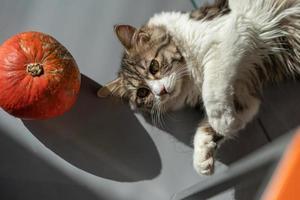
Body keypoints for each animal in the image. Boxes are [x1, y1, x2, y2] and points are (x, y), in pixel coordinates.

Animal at [98, 0, 300, 175]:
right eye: (142, 93)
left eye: (154, 67)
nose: (160, 91)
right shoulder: (243, 94)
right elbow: (210, 127)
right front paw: (203, 154)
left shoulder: (230, 33)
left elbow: (211, 91)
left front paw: (222, 121)